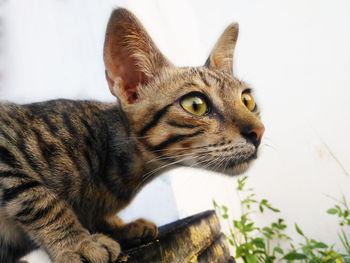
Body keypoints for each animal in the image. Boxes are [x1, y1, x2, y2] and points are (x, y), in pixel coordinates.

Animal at [0, 7, 262, 263]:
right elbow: (40, 198)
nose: (259, 132)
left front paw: (119, 226)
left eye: (248, 100)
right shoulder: (6, 147)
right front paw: (78, 243)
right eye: (195, 104)